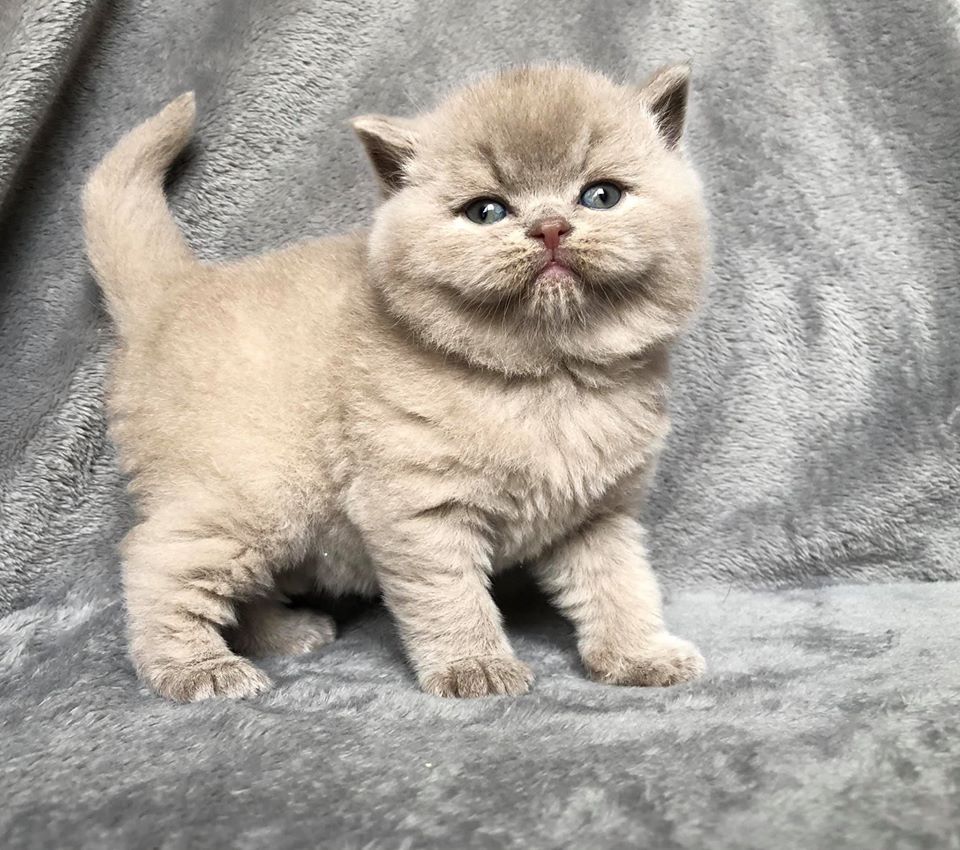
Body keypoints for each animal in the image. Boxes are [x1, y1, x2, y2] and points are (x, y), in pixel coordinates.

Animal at [83, 63, 708, 702]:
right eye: (486, 211)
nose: (551, 228)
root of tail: (174, 292)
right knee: (155, 559)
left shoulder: (598, 515)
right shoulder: (417, 508)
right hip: (255, 493)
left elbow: (619, 586)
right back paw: (198, 669)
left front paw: (638, 655)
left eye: (601, 195)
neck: (548, 380)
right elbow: (449, 595)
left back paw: (285, 634)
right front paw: (474, 665)